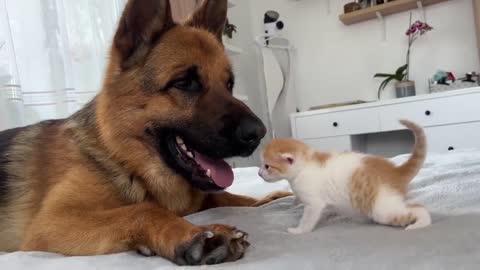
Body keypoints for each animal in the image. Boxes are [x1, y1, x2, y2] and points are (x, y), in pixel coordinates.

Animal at [0, 0, 288, 266]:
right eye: (185, 82)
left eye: (229, 85)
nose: (259, 133)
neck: (124, 159)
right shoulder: (54, 222)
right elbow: (143, 210)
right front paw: (195, 234)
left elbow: (230, 197)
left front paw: (273, 197)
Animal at [258, 120, 432, 234]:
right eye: (262, 165)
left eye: (267, 166)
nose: (259, 173)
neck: (305, 165)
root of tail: (395, 171)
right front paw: (295, 201)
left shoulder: (314, 203)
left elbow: (308, 218)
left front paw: (299, 230)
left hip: (383, 209)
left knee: (419, 208)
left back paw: (421, 223)